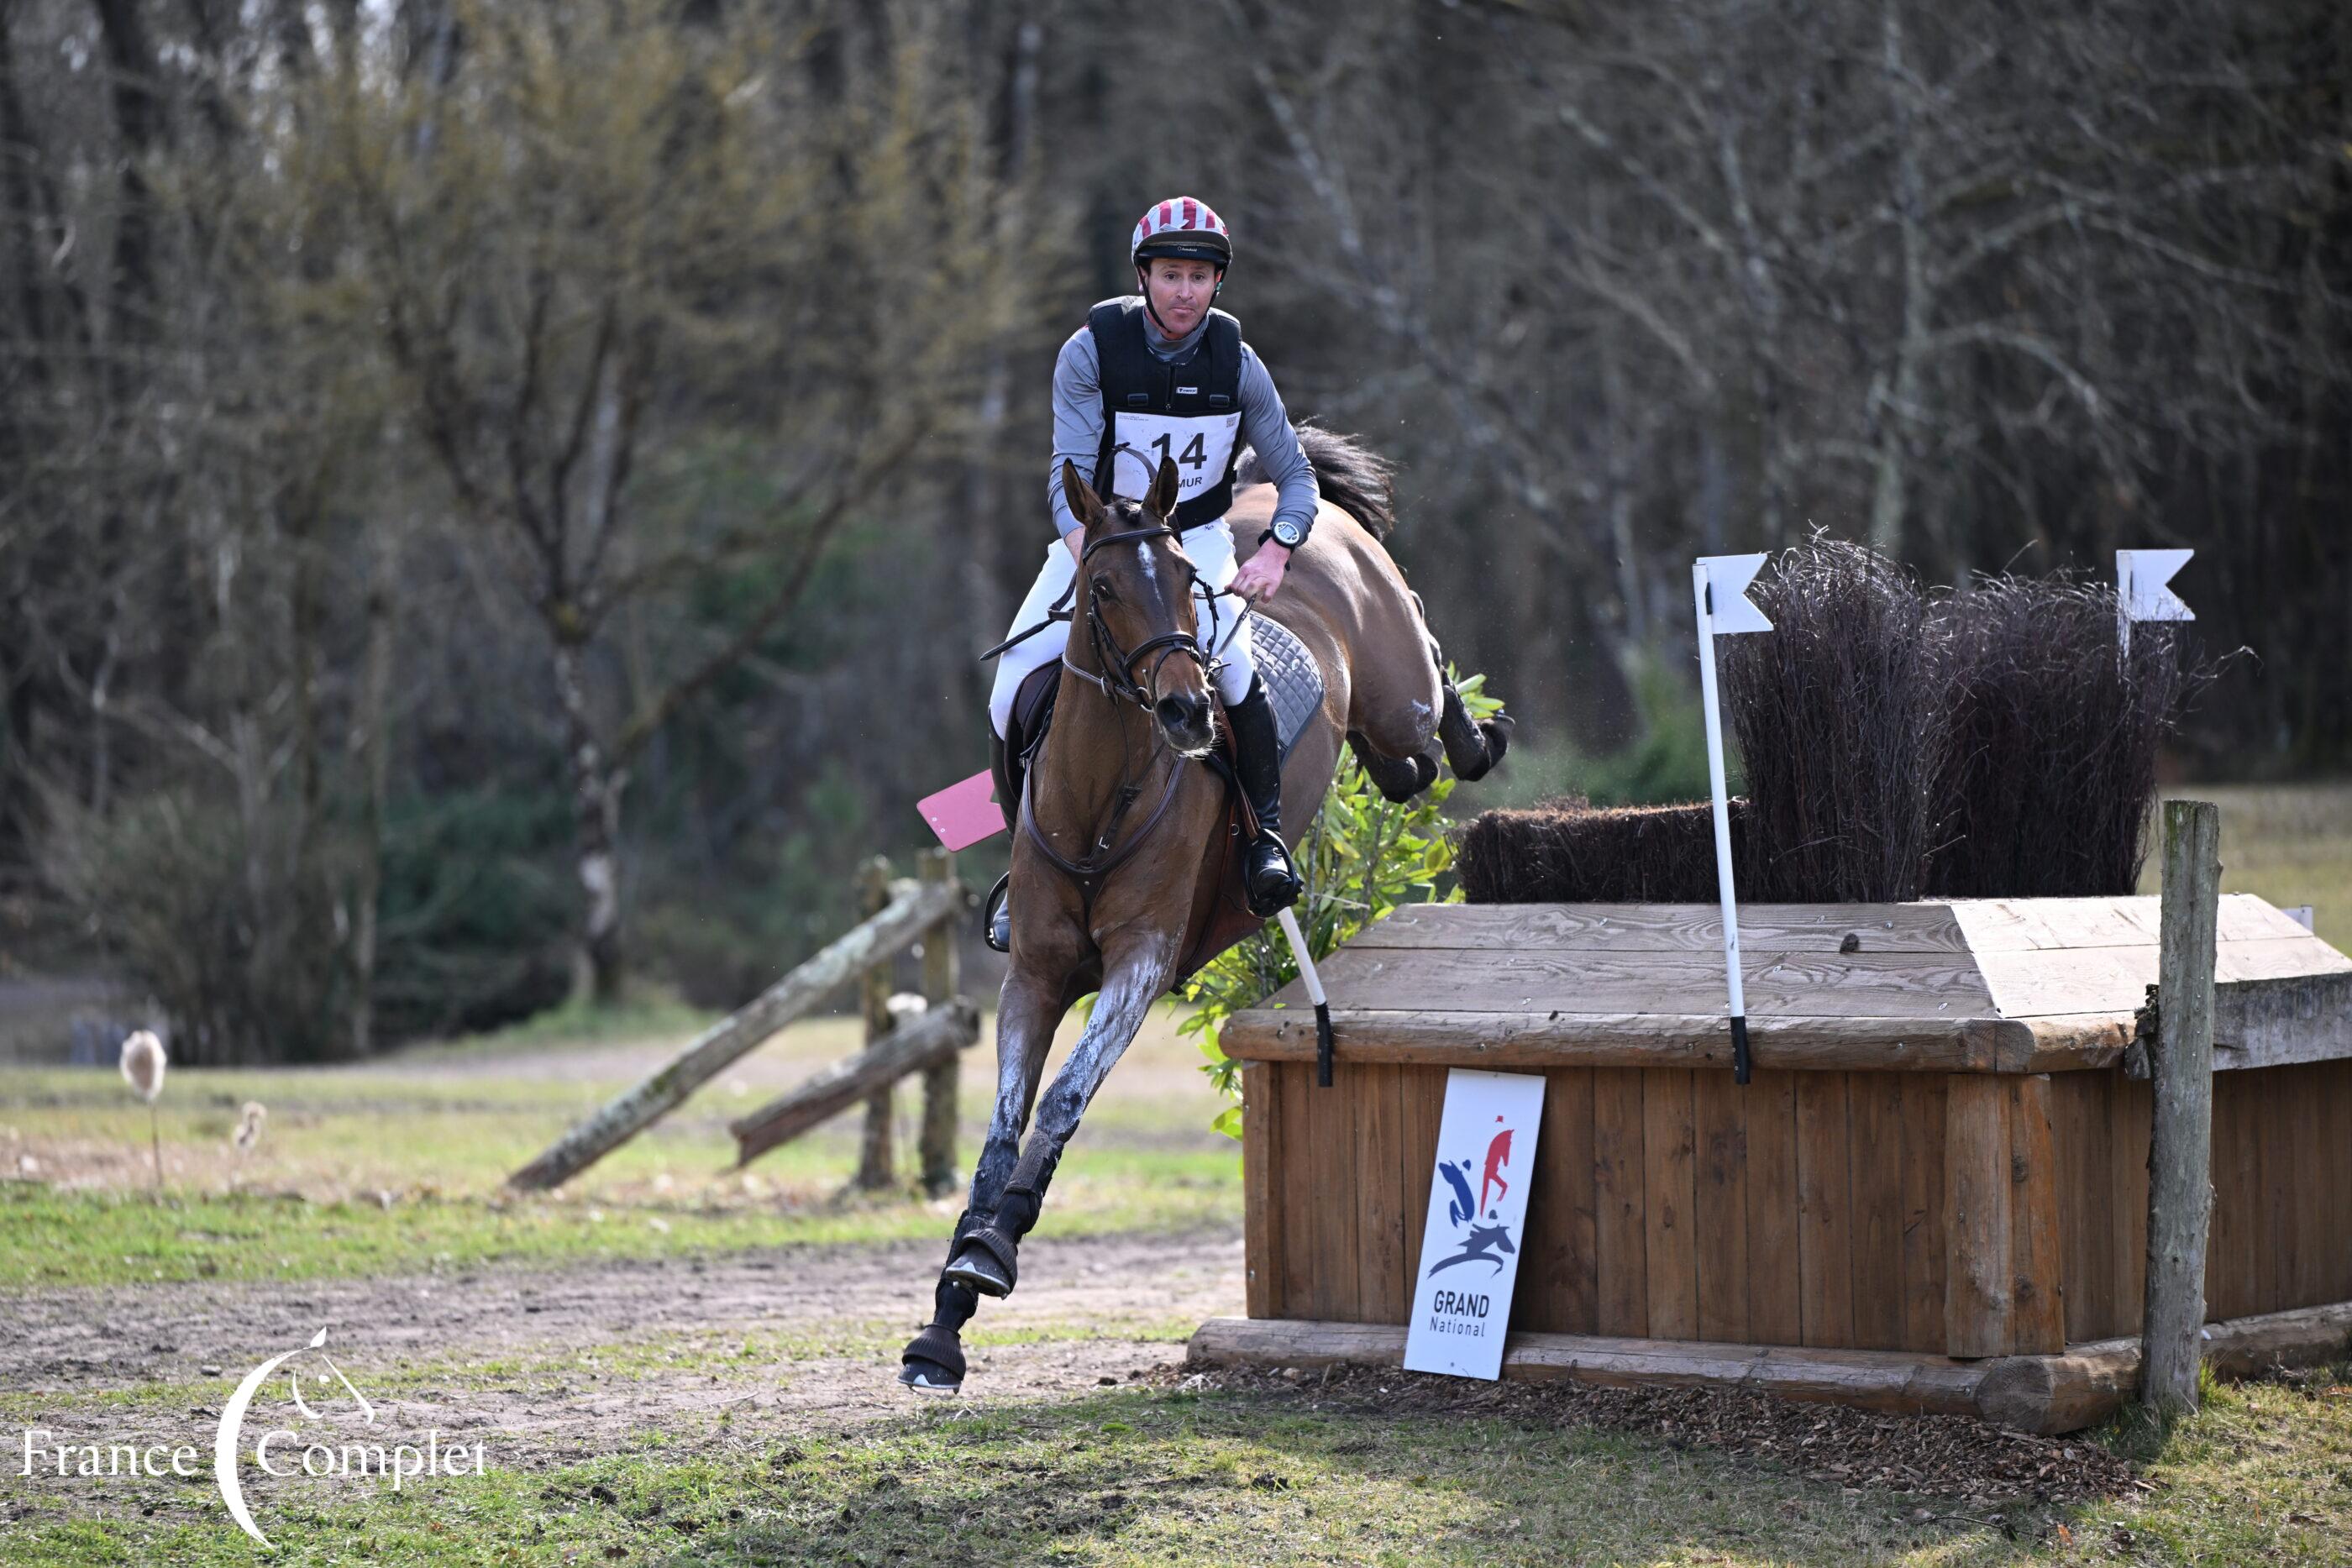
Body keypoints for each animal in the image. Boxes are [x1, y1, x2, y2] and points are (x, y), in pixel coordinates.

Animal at [899, 426, 1513, 1393]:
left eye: (1187, 581)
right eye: (1103, 587)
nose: (1188, 709)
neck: (1097, 803)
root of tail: (1271, 495)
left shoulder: (1141, 965)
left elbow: (1062, 1098)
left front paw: (993, 1247)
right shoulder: (1033, 974)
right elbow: (1001, 1125)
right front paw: (946, 1316)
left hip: (1395, 687)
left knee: (1427, 695)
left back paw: (1475, 728)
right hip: (1372, 738)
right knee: (1400, 769)